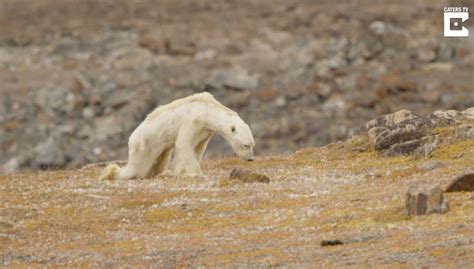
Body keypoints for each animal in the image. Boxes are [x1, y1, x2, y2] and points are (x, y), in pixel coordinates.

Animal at [99, 91, 256, 179]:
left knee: (158, 163)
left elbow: (198, 148)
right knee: (137, 168)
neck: (206, 110)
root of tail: (131, 139)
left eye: (252, 144)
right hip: (145, 146)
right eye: (245, 145)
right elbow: (183, 143)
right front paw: (195, 173)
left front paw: (179, 170)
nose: (250, 159)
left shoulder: (205, 131)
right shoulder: (193, 121)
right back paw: (111, 173)